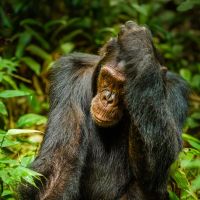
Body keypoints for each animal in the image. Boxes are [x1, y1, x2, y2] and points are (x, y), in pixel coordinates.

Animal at [19, 21, 189, 199]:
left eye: (124, 88)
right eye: (108, 78)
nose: (108, 99)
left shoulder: (176, 93)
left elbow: (156, 167)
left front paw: (139, 48)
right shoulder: (68, 75)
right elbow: (59, 161)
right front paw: (137, 42)